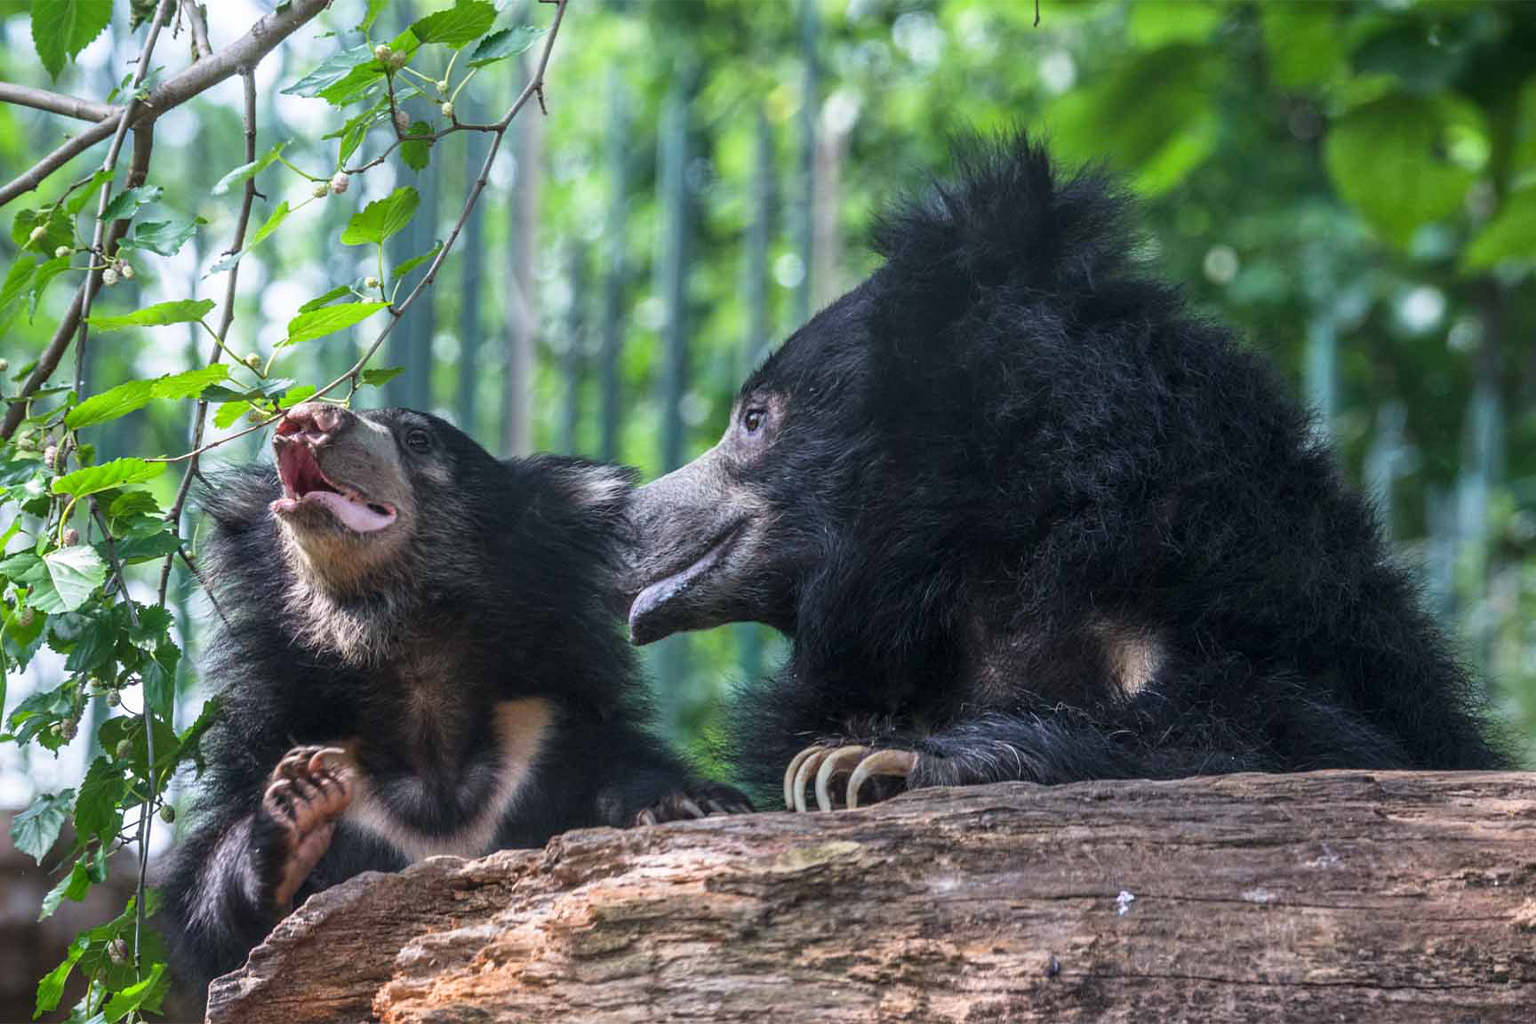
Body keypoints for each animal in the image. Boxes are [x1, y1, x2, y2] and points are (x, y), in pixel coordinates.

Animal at [162, 402, 749, 1000]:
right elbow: (215, 931)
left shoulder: (546, 736)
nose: (308, 419)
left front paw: (689, 805)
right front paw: (298, 807)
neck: (417, 680)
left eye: (418, 440)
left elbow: (621, 770)